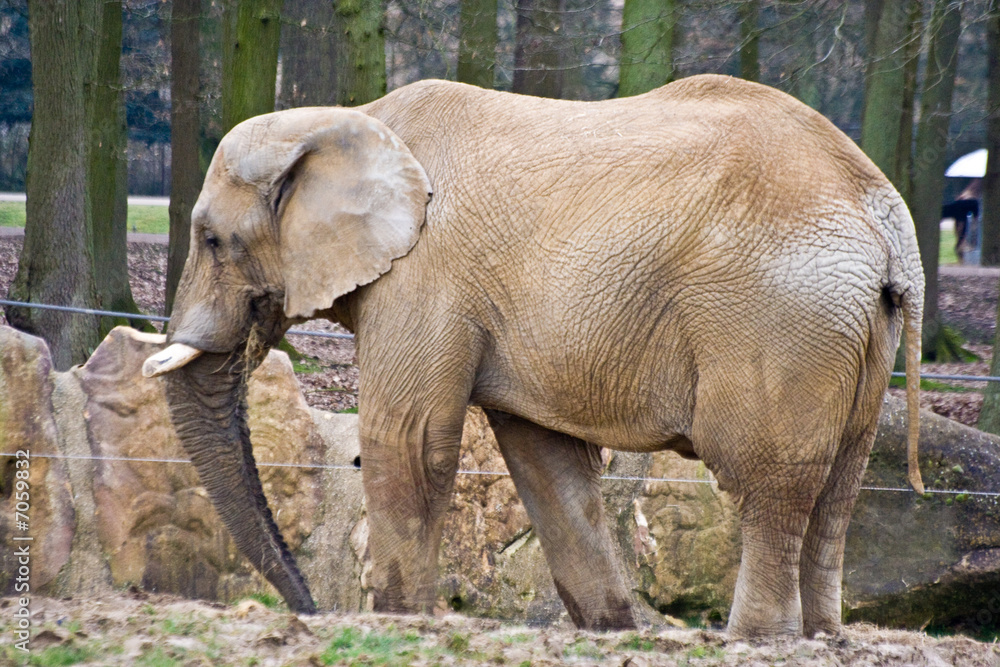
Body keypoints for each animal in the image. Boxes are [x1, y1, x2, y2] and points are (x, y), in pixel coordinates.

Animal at [143, 74, 924, 638]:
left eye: (211, 239)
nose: (308, 608)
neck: (349, 117)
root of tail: (884, 214)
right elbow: (548, 465)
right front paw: (611, 631)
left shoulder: (426, 274)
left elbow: (410, 440)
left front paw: (397, 622)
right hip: (851, 328)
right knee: (841, 482)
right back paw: (823, 638)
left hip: (778, 318)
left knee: (768, 480)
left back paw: (757, 639)